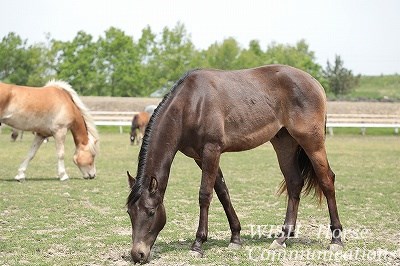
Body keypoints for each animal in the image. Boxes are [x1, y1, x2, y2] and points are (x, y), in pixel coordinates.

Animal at [126, 65, 344, 264]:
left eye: (151, 212)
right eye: (129, 212)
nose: (138, 254)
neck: (190, 104)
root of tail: (314, 82)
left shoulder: (211, 151)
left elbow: (205, 195)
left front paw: (198, 244)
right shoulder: (200, 157)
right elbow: (223, 193)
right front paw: (235, 238)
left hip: (312, 143)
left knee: (327, 181)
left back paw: (336, 240)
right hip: (285, 144)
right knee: (294, 183)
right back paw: (282, 238)